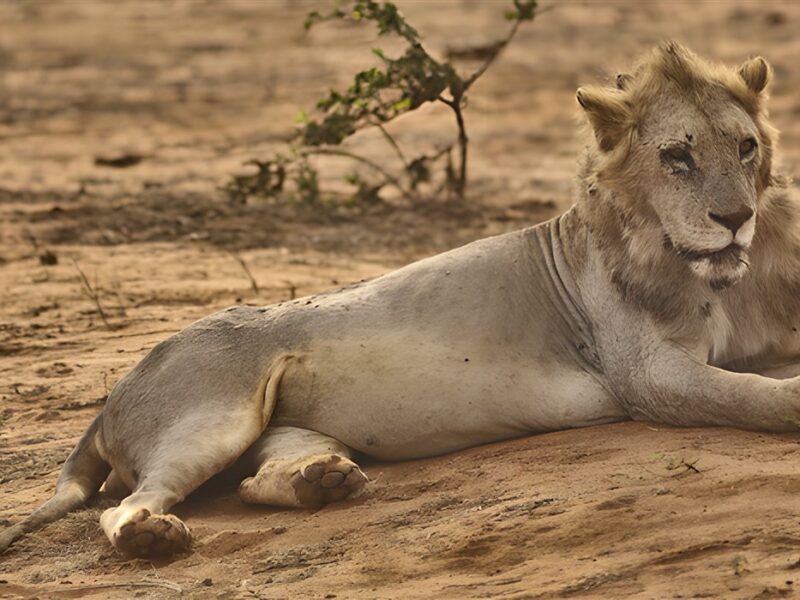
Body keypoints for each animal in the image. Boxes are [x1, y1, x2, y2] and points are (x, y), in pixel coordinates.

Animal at [2, 42, 799, 558]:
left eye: (746, 148)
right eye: (677, 156)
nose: (735, 217)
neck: (695, 268)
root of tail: (116, 389)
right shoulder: (649, 378)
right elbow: (745, 395)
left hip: (285, 427)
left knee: (257, 482)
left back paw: (321, 483)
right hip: (210, 420)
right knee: (126, 506)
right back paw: (152, 537)